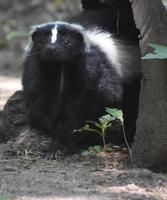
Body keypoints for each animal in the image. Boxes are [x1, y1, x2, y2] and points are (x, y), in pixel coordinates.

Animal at [22, 19, 141, 153]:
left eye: (67, 42)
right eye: (42, 42)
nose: (51, 49)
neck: (60, 68)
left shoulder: (92, 73)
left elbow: (81, 111)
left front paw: (68, 143)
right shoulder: (36, 75)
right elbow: (42, 106)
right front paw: (55, 144)